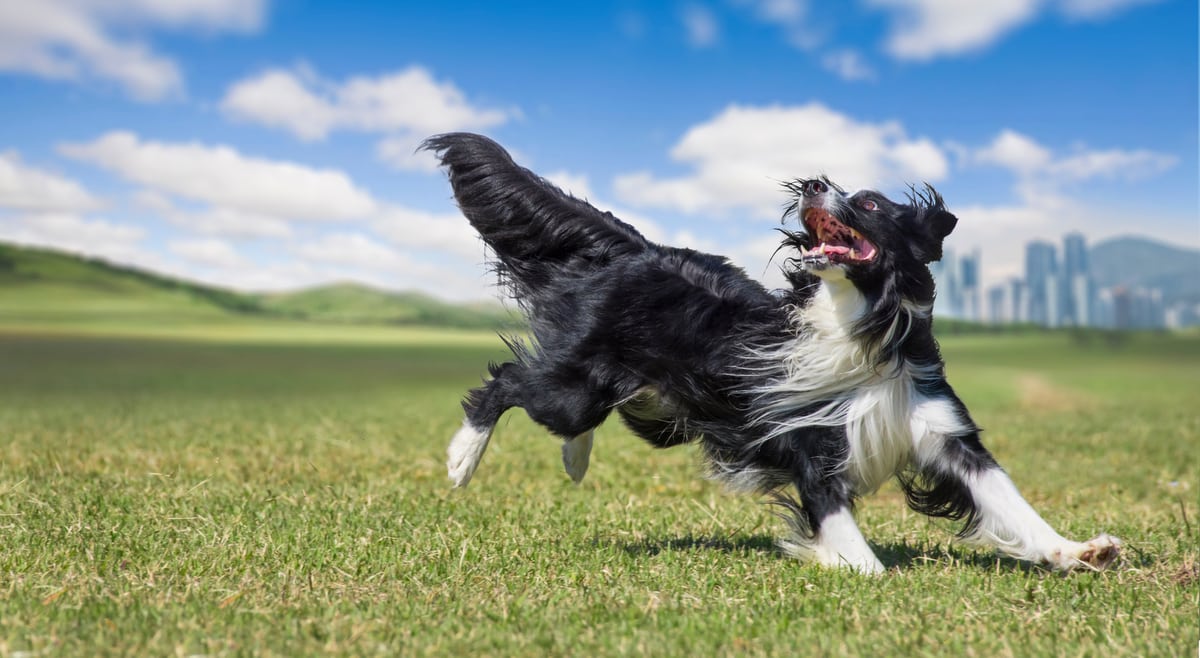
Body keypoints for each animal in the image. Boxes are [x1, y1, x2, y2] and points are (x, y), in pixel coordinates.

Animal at [427, 130, 1118, 573]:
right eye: (834, 186)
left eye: (869, 202)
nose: (813, 182)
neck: (859, 327)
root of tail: (638, 249)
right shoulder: (812, 445)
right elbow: (856, 548)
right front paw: (847, 566)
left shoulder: (943, 431)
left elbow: (1008, 499)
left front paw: (1076, 551)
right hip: (574, 387)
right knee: (506, 381)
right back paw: (462, 460)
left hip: (649, 403)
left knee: (580, 413)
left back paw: (573, 460)